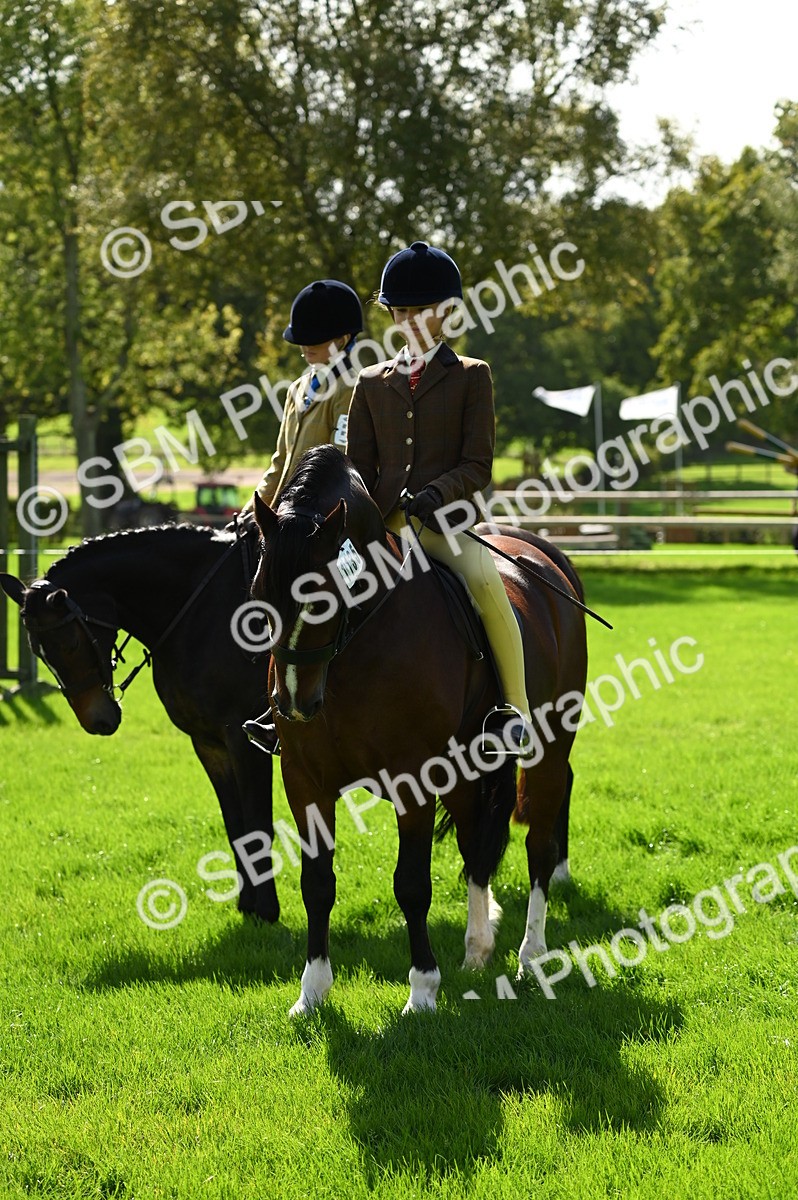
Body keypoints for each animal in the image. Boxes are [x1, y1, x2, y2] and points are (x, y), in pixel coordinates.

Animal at [0, 522, 280, 923]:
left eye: (70, 644)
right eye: (38, 653)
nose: (97, 720)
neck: (203, 610)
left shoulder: (245, 741)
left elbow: (258, 823)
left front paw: (267, 910)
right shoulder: (210, 744)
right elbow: (236, 825)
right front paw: (247, 904)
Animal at [251, 445, 588, 1016]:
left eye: (323, 597)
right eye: (258, 591)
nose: (294, 702)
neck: (355, 647)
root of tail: (545, 557)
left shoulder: (412, 778)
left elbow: (411, 884)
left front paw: (423, 992)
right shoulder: (304, 779)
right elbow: (316, 882)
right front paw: (312, 992)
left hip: (547, 749)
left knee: (539, 841)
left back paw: (532, 954)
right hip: (463, 768)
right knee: (476, 842)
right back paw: (478, 948)